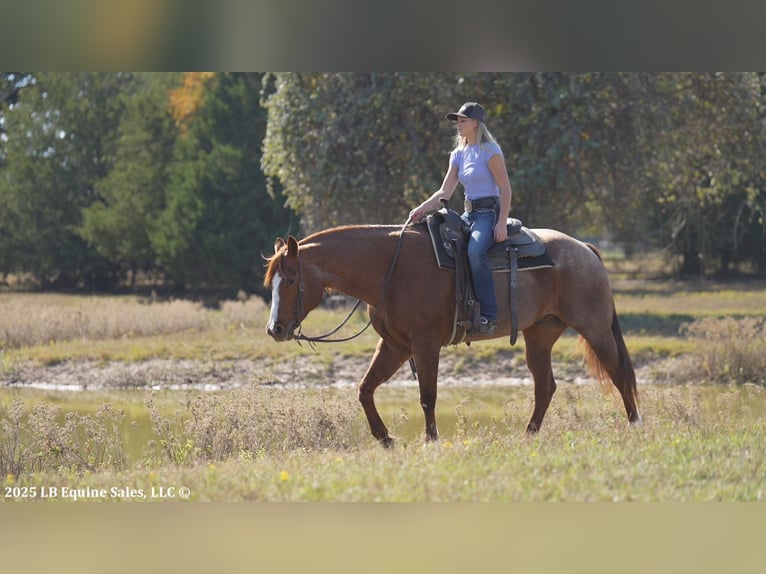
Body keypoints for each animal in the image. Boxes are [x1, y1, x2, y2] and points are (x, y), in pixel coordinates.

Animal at [265, 222, 640, 446]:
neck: (389, 270)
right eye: (273, 282)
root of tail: (586, 249)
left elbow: (427, 396)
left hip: (595, 329)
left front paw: (431, 440)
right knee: (545, 387)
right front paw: (385, 438)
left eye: (292, 279)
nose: (275, 329)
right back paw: (528, 435)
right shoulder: (395, 346)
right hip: (539, 336)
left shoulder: (425, 345)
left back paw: (635, 425)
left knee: (619, 373)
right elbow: (365, 389)